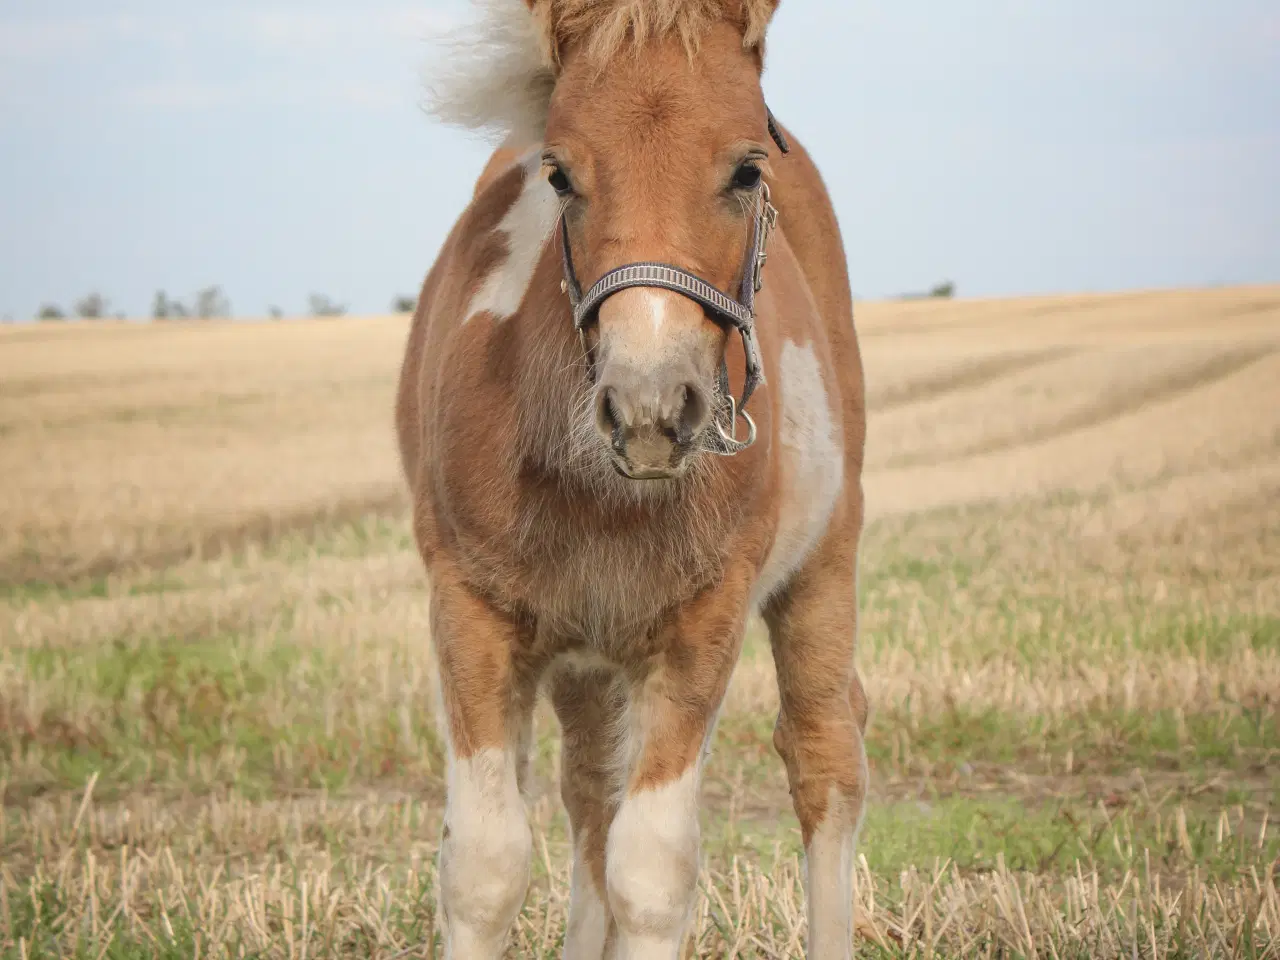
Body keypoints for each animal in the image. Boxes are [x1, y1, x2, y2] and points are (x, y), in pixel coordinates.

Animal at [396, 1, 870, 960]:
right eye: (559, 173)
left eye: (746, 168)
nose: (650, 407)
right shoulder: (469, 608)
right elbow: (485, 869)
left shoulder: (702, 621)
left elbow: (651, 873)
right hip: (587, 654)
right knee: (590, 794)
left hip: (824, 565)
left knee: (824, 756)